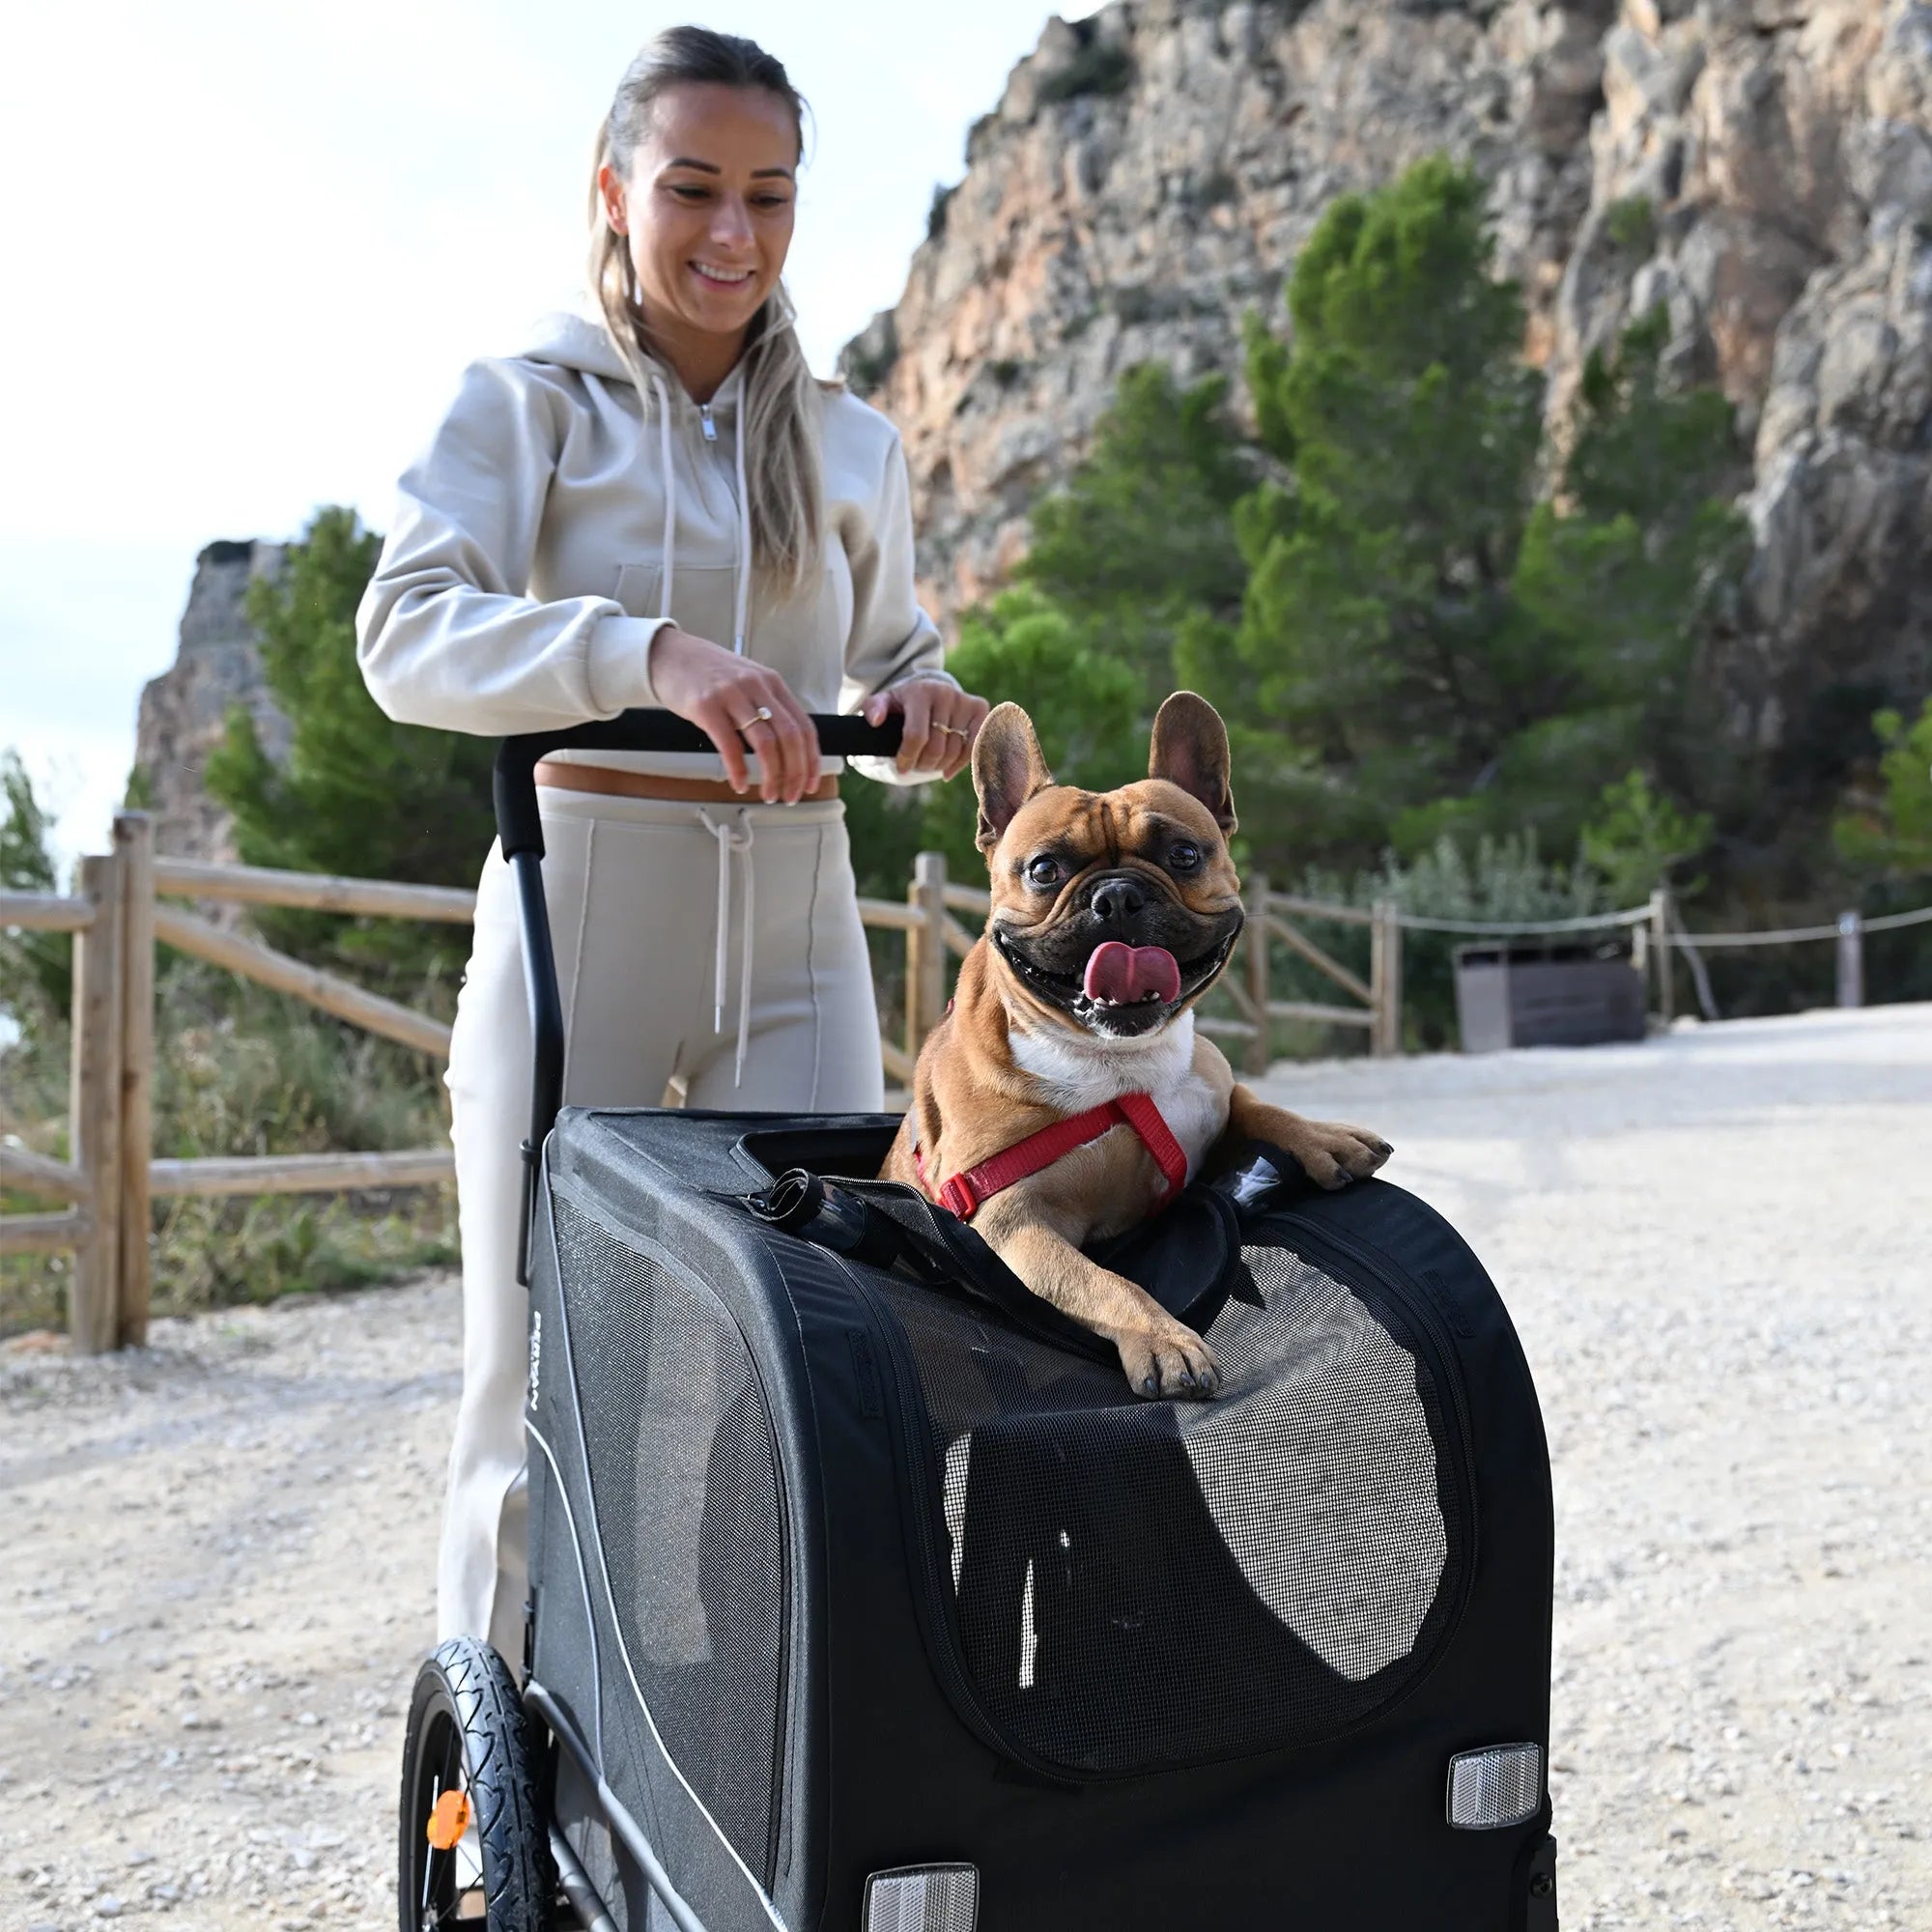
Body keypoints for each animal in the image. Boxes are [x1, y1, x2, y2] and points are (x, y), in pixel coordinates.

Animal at [885, 696, 1399, 1406]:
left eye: (1184, 854)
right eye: (1043, 870)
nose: (1118, 895)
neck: (1119, 1062)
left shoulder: (1215, 1088)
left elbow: (1257, 1104)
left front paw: (1325, 1138)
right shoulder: (1013, 1220)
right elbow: (1104, 1282)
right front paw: (1164, 1339)